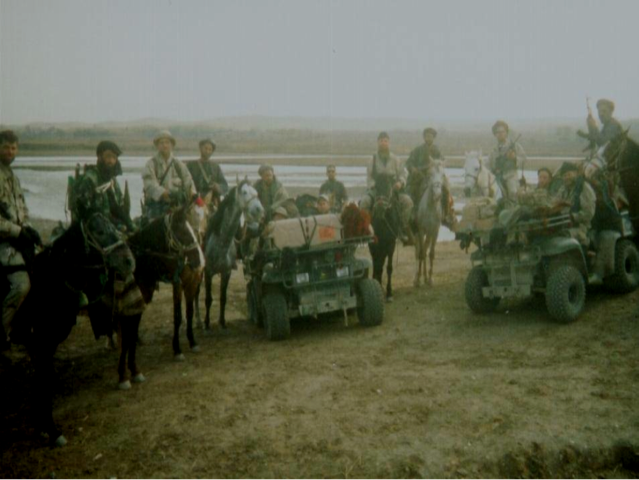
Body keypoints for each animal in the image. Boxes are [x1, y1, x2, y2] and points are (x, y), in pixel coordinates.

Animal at [10, 213, 136, 447]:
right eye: (100, 232)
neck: (51, 281)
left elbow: (43, 378)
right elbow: (45, 379)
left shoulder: (46, 344)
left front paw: (42, 426)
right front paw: (52, 430)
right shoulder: (43, 341)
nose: (129, 261)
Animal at [127, 205, 205, 360]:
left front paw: (192, 341)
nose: (200, 259)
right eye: (183, 232)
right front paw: (177, 349)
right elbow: (178, 316)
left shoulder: (192, 283)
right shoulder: (178, 284)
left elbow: (189, 312)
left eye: (204, 214)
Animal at [197, 179, 264, 330]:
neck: (221, 242)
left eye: (256, 192)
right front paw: (207, 323)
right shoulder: (208, 272)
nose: (259, 210)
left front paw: (222, 322)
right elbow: (208, 299)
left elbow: (223, 298)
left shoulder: (226, 272)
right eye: (244, 192)